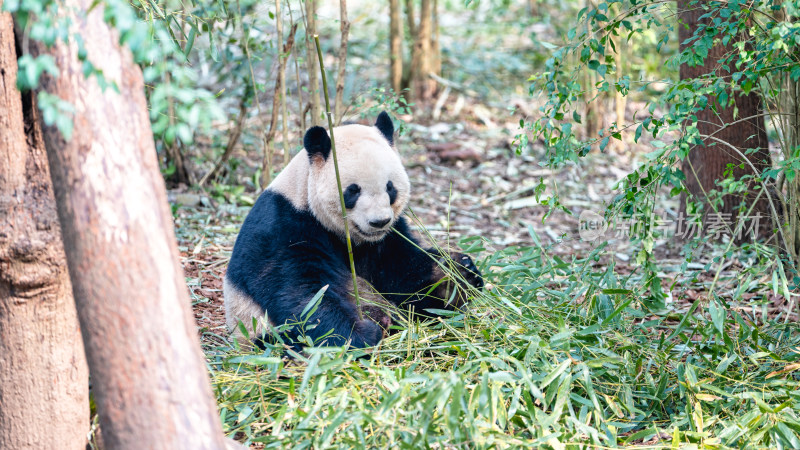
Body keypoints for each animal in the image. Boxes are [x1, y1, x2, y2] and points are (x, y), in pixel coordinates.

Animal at [227, 111, 488, 348]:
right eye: (353, 190)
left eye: (390, 187)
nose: (379, 222)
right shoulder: (284, 227)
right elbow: (301, 293)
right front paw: (359, 334)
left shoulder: (387, 238)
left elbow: (404, 272)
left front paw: (457, 275)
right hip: (257, 330)